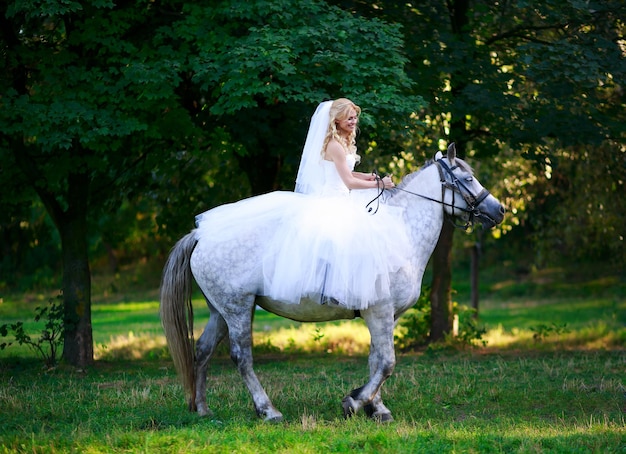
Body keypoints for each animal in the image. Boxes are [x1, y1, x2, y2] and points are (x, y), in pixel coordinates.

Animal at [160, 143, 502, 422]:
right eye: (467, 179)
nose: (498, 210)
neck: (401, 229)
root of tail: (201, 234)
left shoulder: (384, 314)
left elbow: (376, 359)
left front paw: (376, 408)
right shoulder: (380, 310)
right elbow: (387, 362)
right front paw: (355, 402)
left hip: (220, 311)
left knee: (203, 351)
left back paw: (203, 409)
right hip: (238, 309)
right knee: (241, 357)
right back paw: (268, 411)